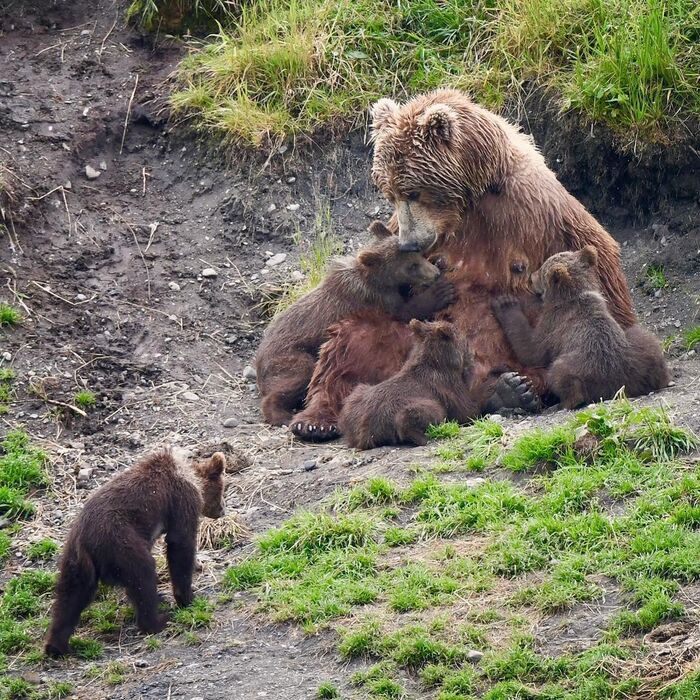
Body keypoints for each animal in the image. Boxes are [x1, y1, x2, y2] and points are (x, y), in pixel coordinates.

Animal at [284, 87, 636, 438]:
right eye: (389, 192)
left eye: (413, 191)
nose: (410, 242)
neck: (471, 196)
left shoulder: (536, 207)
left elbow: (591, 251)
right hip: (396, 339)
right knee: (350, 342)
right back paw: (315, 418)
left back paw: (513, 390)